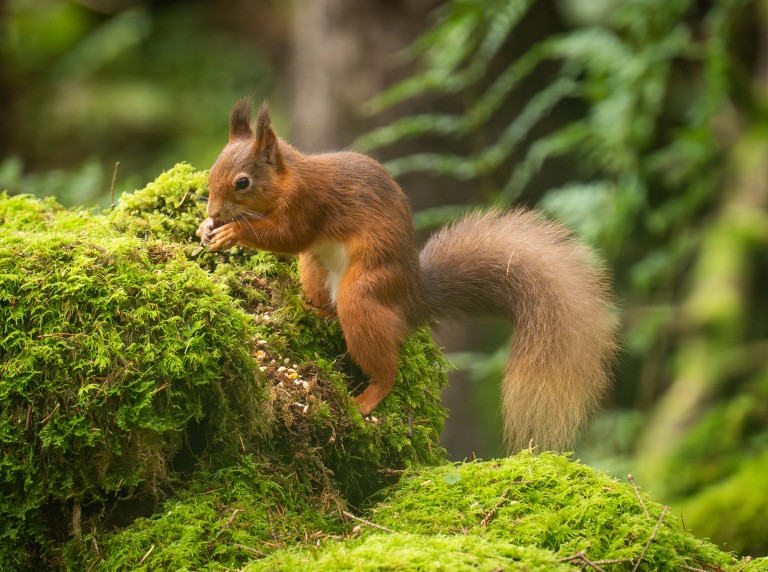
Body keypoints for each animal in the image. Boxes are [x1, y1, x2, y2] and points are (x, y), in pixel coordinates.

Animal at [198, 98, 617, 451]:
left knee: (385, 365)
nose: (214, 211)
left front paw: (232, 232)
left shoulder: (309, 204)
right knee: (327, 303)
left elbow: (286, 237)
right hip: (314, 268)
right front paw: (206, 227)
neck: (288, 180)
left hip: (365, 291)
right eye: (213, 171)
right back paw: (314, 311)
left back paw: (367, 399)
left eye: (242, 182)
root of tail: (411, 296)